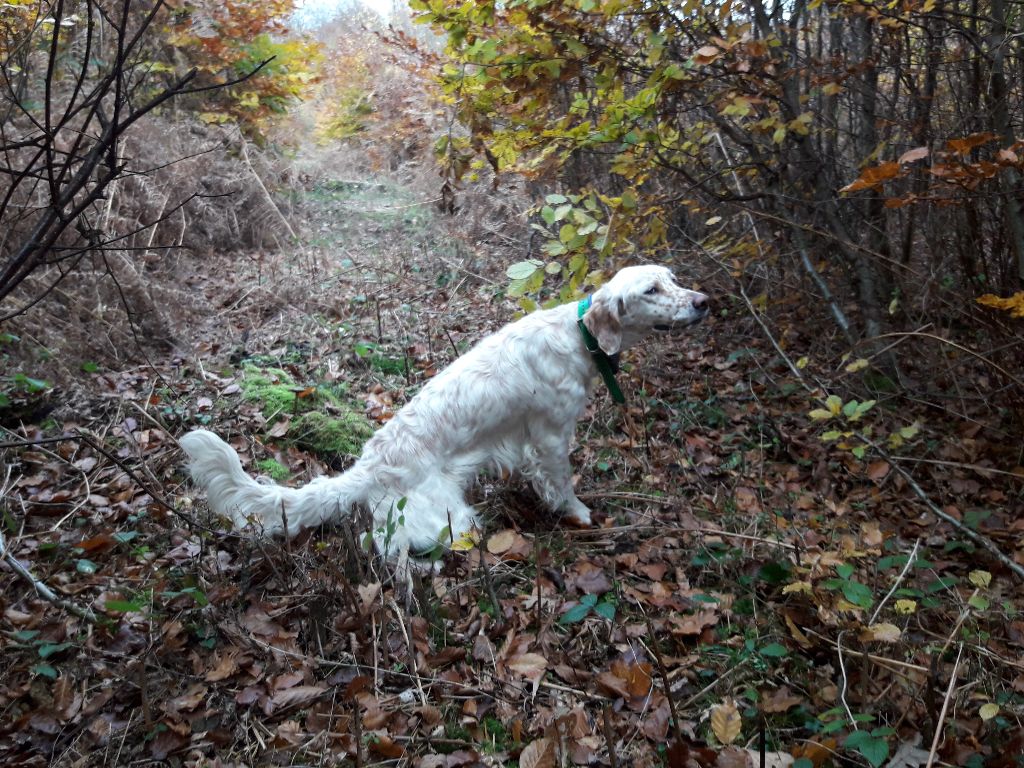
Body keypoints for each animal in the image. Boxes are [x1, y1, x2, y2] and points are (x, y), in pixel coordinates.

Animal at [180, 268, 708, 557]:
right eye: (651, 290)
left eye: (674, 280)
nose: (705, 301)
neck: (578, 334)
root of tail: (365, 469)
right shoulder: (552, 435)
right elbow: (561, 485)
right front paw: (578, 513)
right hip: (451, 519)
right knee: (381, 545)